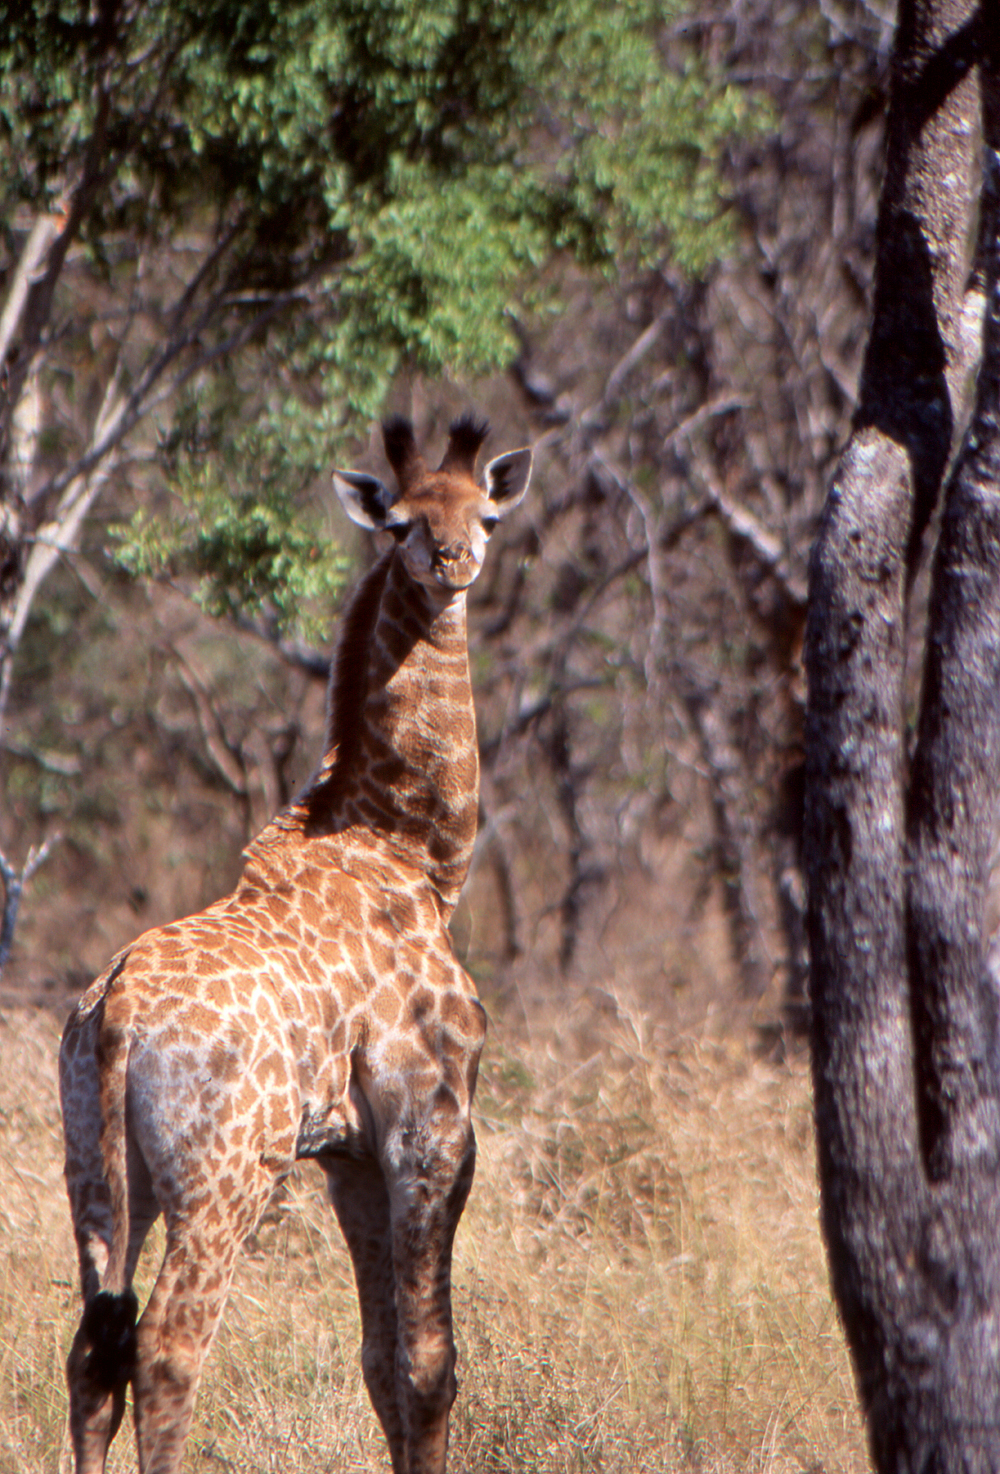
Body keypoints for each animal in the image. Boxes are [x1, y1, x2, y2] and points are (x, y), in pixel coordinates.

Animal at [58, 412, 532, 1474]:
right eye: (401, 522)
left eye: (483, 512)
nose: (454, 561)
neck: (411, 850)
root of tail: (114, 1016)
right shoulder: (433, 1126)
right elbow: (432, 1365)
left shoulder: (351, 1154)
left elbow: (381, 1365)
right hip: (224, 1177)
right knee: (166, 1348)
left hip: (99, 1172)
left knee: (91, 1350)